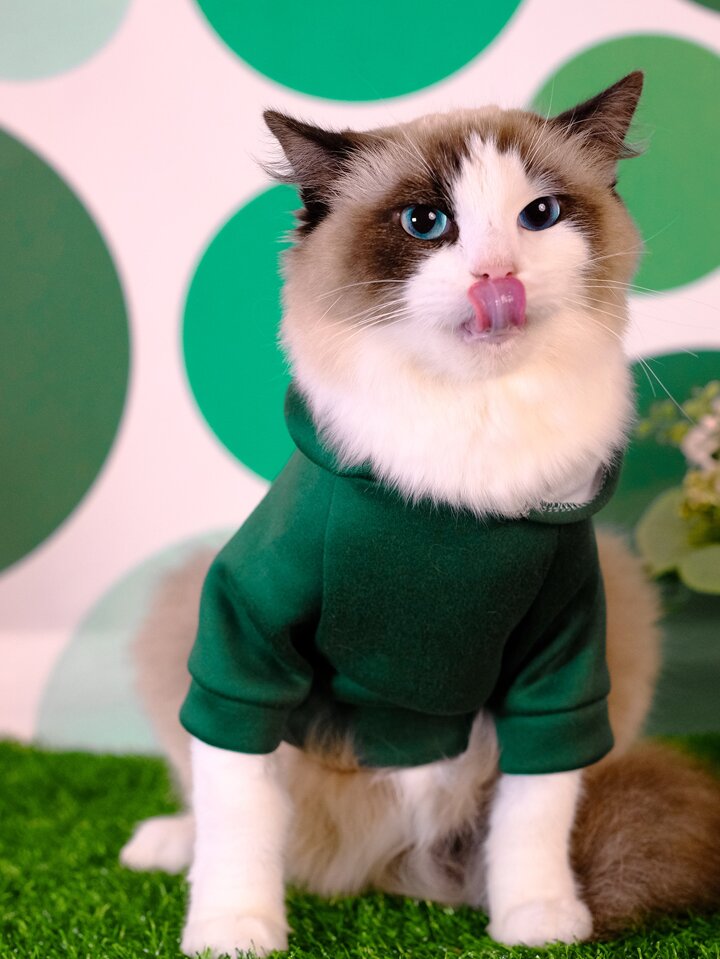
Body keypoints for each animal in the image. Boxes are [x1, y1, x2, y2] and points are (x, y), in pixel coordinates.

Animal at [120, 72, 720, 957]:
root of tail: (371, 866)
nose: (495, 275)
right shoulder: (244, 642)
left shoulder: (560, 659)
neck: (460, 481)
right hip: (183, 606)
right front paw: (234, 929)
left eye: (540, 215)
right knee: (230, 808)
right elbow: (237, 807)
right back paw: (165, 846)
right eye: (425, 223)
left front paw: (537, 918)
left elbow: (536, 812)